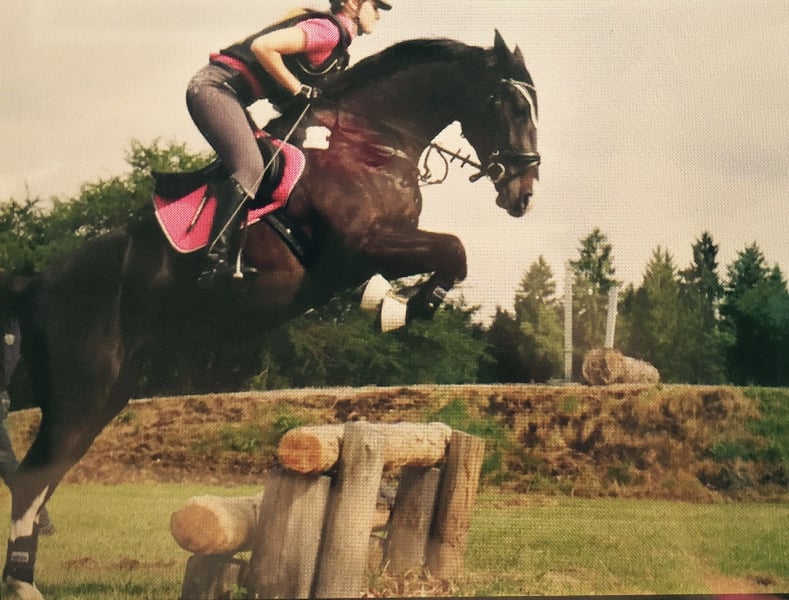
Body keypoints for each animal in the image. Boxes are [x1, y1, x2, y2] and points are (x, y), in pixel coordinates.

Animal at [0, 31, 539, 598]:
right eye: (510, 104)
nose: (523, 194)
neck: (370, 142)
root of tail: (34, 283)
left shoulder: (373, 251)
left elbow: (448, 256)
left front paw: (390, 303)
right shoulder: (359, 246)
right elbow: (453, 250)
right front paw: (400, 308)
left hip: (104, 397)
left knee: (43, 478)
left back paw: (22, 574)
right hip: (80, 390)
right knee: (33, 480)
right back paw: (21, 582)